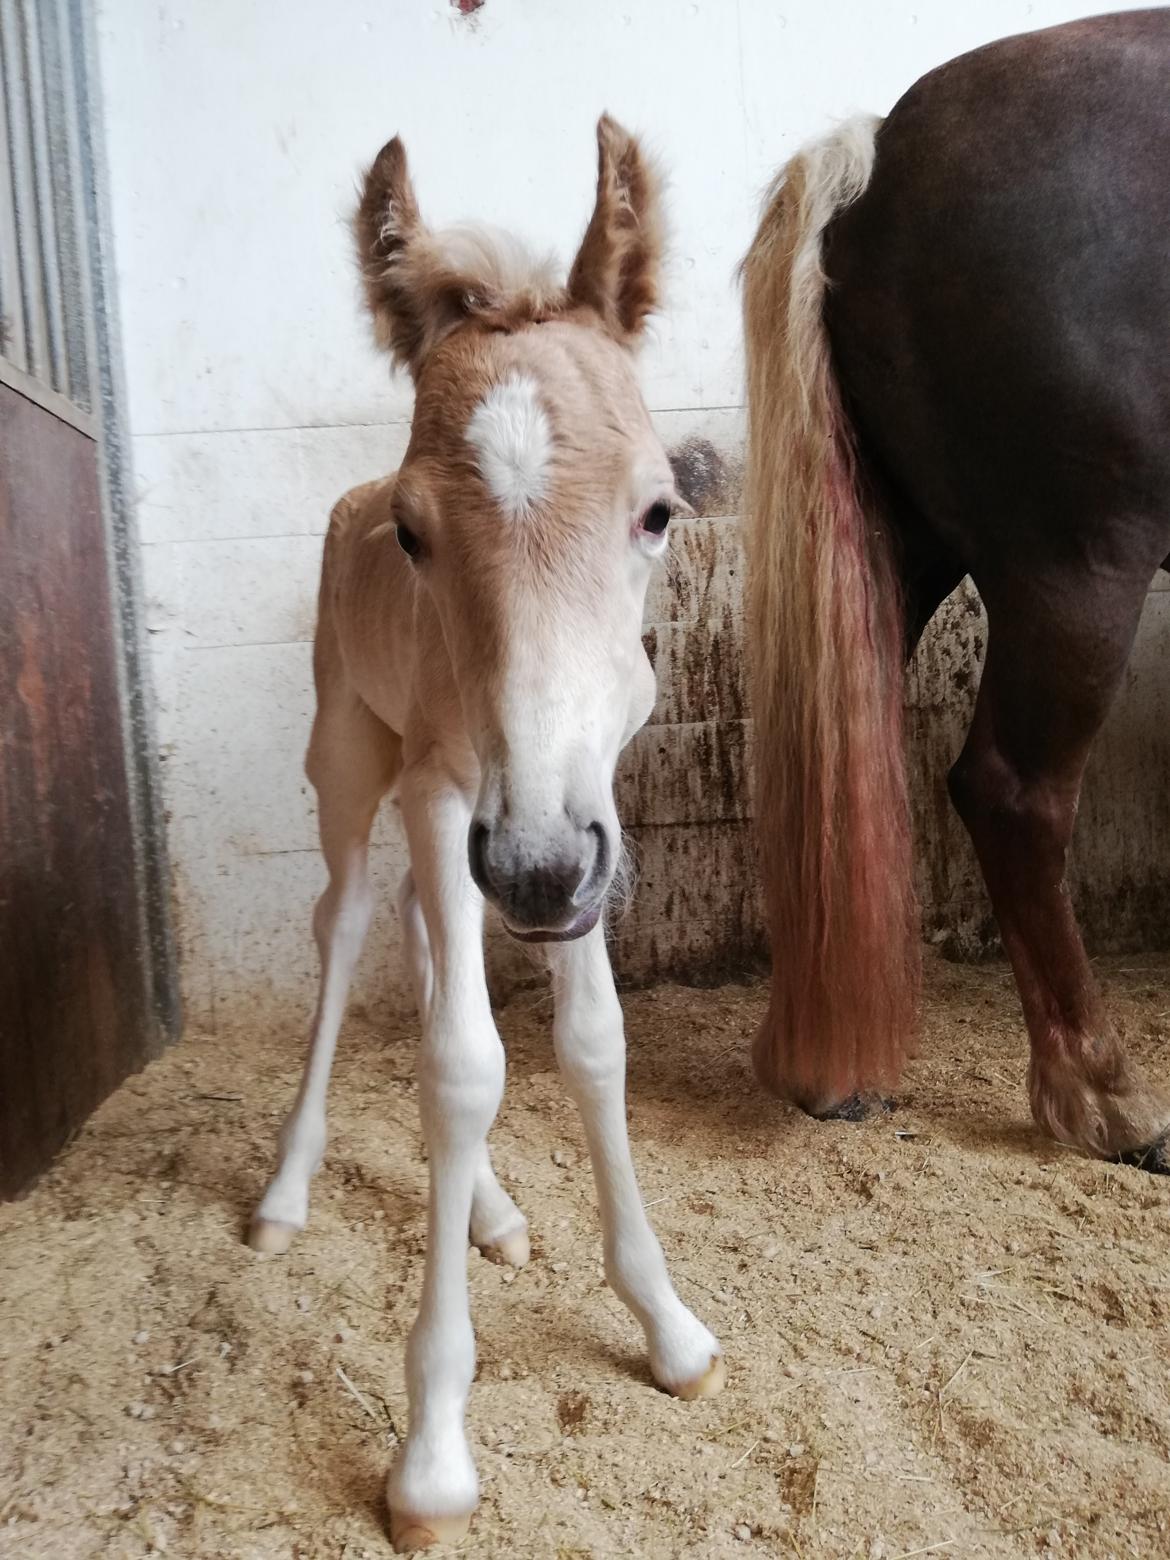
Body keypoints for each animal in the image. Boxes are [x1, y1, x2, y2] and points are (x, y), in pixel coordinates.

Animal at [248, 118, 723, 1547]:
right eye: (414, 532)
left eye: (657, 512)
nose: (537, 873)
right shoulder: (457, 800)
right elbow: (463, 1068)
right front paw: (433, 1454)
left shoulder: (584, 803)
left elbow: (591, 1042)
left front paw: (667, 1325)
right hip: (358, 767)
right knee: (351, 924)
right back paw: (285, 1192)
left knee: (420, 926)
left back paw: (499, 1215)